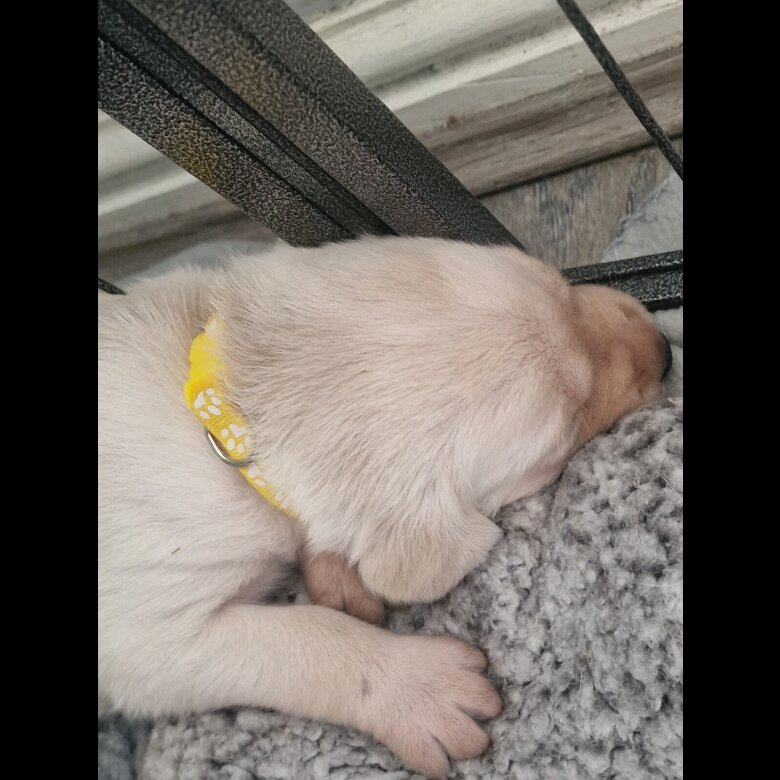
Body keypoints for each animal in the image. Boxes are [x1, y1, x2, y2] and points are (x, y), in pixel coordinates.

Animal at [98, 236, 671, 777]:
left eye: (559, 286)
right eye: (567, 426)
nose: (667, 349)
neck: (227, 410)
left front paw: (338, 577)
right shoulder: (151, 643)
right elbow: (303, 636)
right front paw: (424, 691)